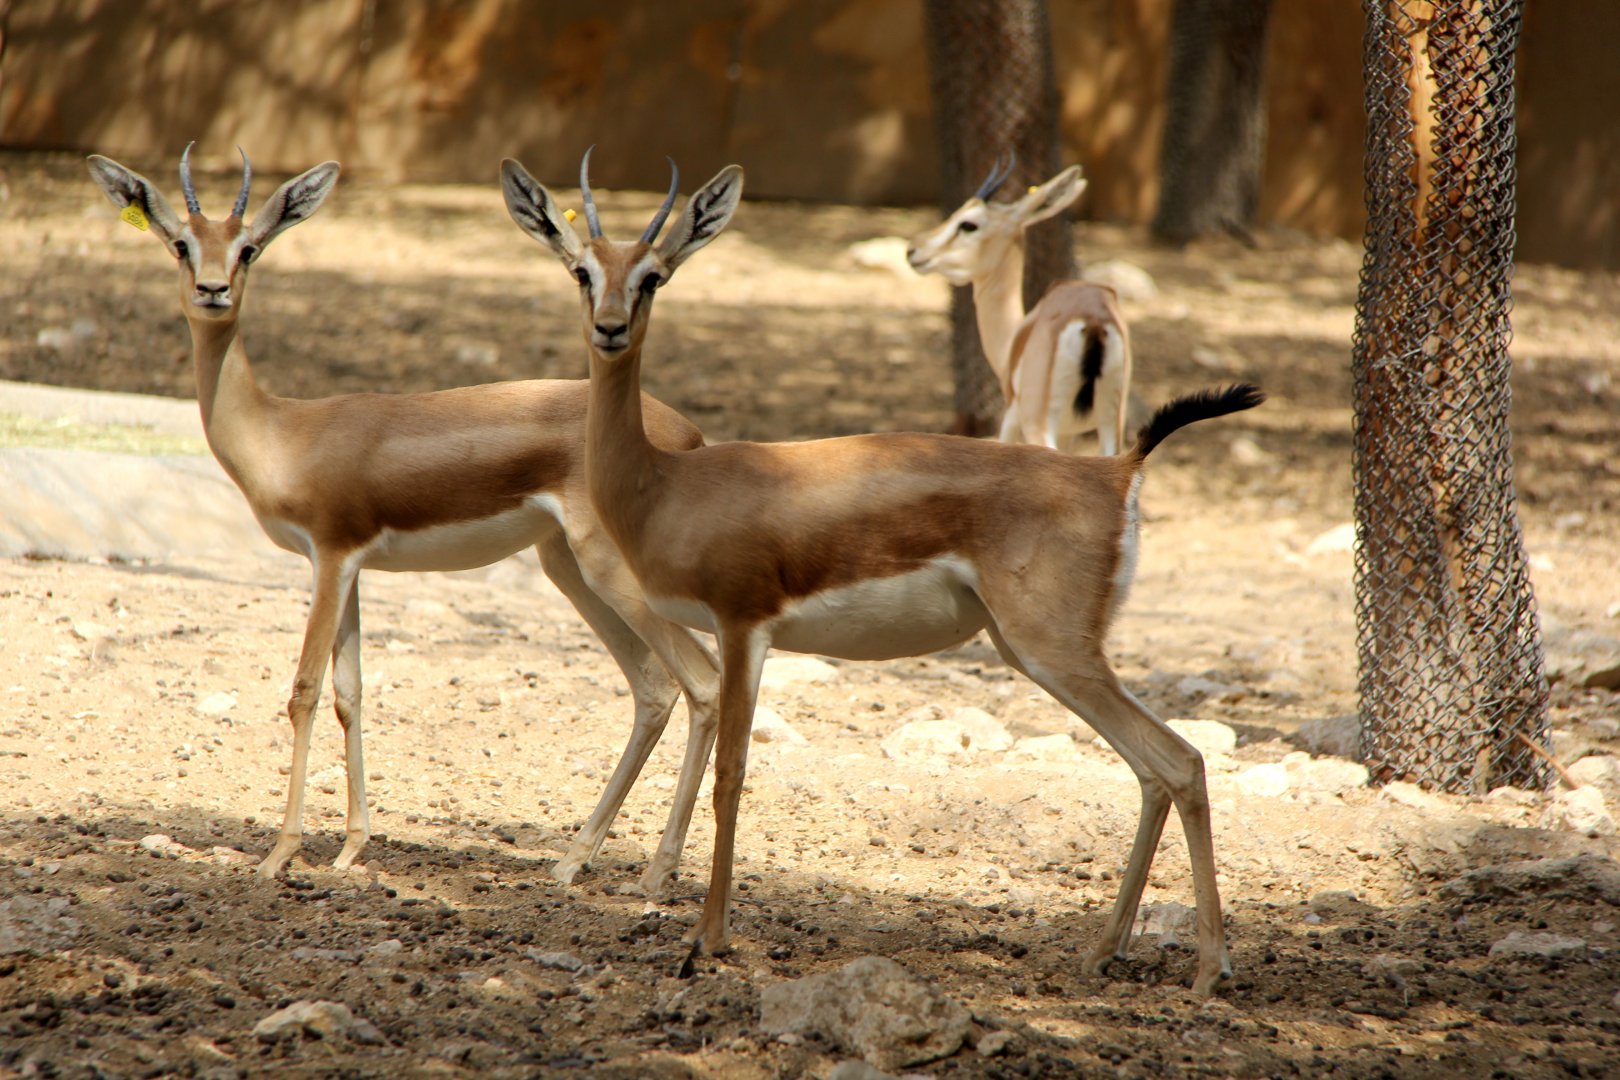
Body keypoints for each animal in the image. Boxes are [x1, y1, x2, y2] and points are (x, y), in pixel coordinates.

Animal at [86, 146, 725, 891]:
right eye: (181, 244)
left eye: (248, 247)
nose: (212, 290)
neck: (283, 431)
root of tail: (686, 437)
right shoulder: (350, 568)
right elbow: (350, 692)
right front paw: (350, 848)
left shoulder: (331, 557)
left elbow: (304, 690)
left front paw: (280, 853)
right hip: (567, 567)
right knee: (653, 686)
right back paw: (573, 861)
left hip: (608, 571)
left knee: (702, 680)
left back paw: (654, 877)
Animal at [908, 156, 1134, 454]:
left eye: (968, 224)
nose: (914, 250)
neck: (1013, 338)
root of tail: (1093, 321)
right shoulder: (1069, 432)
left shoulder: (1011, 417)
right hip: (1111, 425)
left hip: (1039, 424)